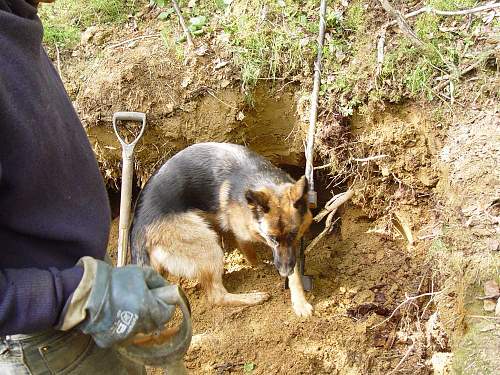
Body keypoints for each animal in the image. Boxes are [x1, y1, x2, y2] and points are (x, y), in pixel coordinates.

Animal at [131, 143, 314, 318]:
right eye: (271, 238)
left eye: (293, 235)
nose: (283, 272)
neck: (262, 179)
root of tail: (138, 231)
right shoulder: (243, 234)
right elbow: (250, 253)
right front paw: (260, 265)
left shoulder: (290, 249)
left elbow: (295, 272)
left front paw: (300, 302)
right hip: (208, 246)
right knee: (216, 296)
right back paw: (252, 297)